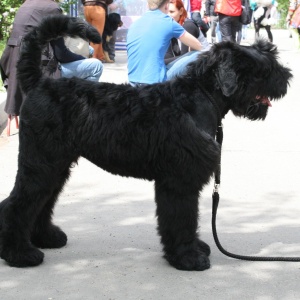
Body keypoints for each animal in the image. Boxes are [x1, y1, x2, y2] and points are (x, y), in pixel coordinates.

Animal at [0, 15, 292, 270]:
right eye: (264, 67)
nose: (287, 77)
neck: (198, 97)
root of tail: (39, 83)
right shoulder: (179, 181)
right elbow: (182, 219)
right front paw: (188, 258)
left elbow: (187, 219)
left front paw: (195, 248)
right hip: (41, 164)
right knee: (17, 204)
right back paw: (20, 253)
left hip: (56, 167)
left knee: (41, 201)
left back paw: (46, 238)